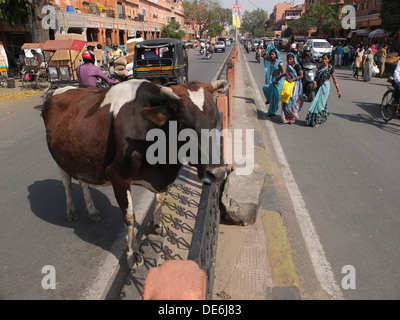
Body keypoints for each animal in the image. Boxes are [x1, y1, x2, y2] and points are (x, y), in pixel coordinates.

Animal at [42, 79, 230, 268]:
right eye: (183, 123)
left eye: (215, 119)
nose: (218, 172)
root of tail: (62, 89)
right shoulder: (118, 177)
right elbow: (130, 216)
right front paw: (133, 253)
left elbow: (160, 199)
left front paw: (158, 225)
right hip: (60, 158)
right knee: (66, 183)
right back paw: (71, 211)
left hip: (80, 156)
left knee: (83, 182)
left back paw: (92, 211)